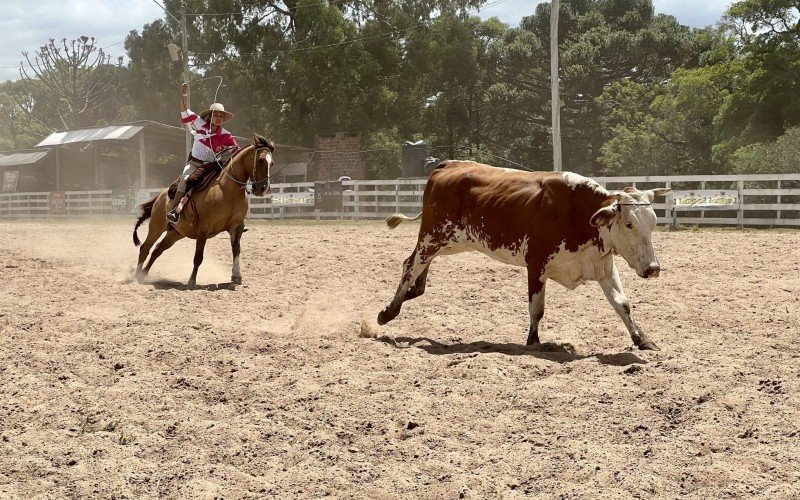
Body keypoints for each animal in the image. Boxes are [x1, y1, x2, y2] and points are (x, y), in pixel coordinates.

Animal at [134, 135, 276, 288]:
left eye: (272, 163)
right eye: (261, 160)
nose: (263, 188)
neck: (226, 189)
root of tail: (160, 195)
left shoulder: (236, 227)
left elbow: (236, 250)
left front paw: (236, 276)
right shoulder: (204, 229)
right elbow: (198, 256)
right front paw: (192, 280)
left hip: (175, 233)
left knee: (157, 249)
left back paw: (144, 273)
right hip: (156, 227)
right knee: (145, 248)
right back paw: (137, 275)